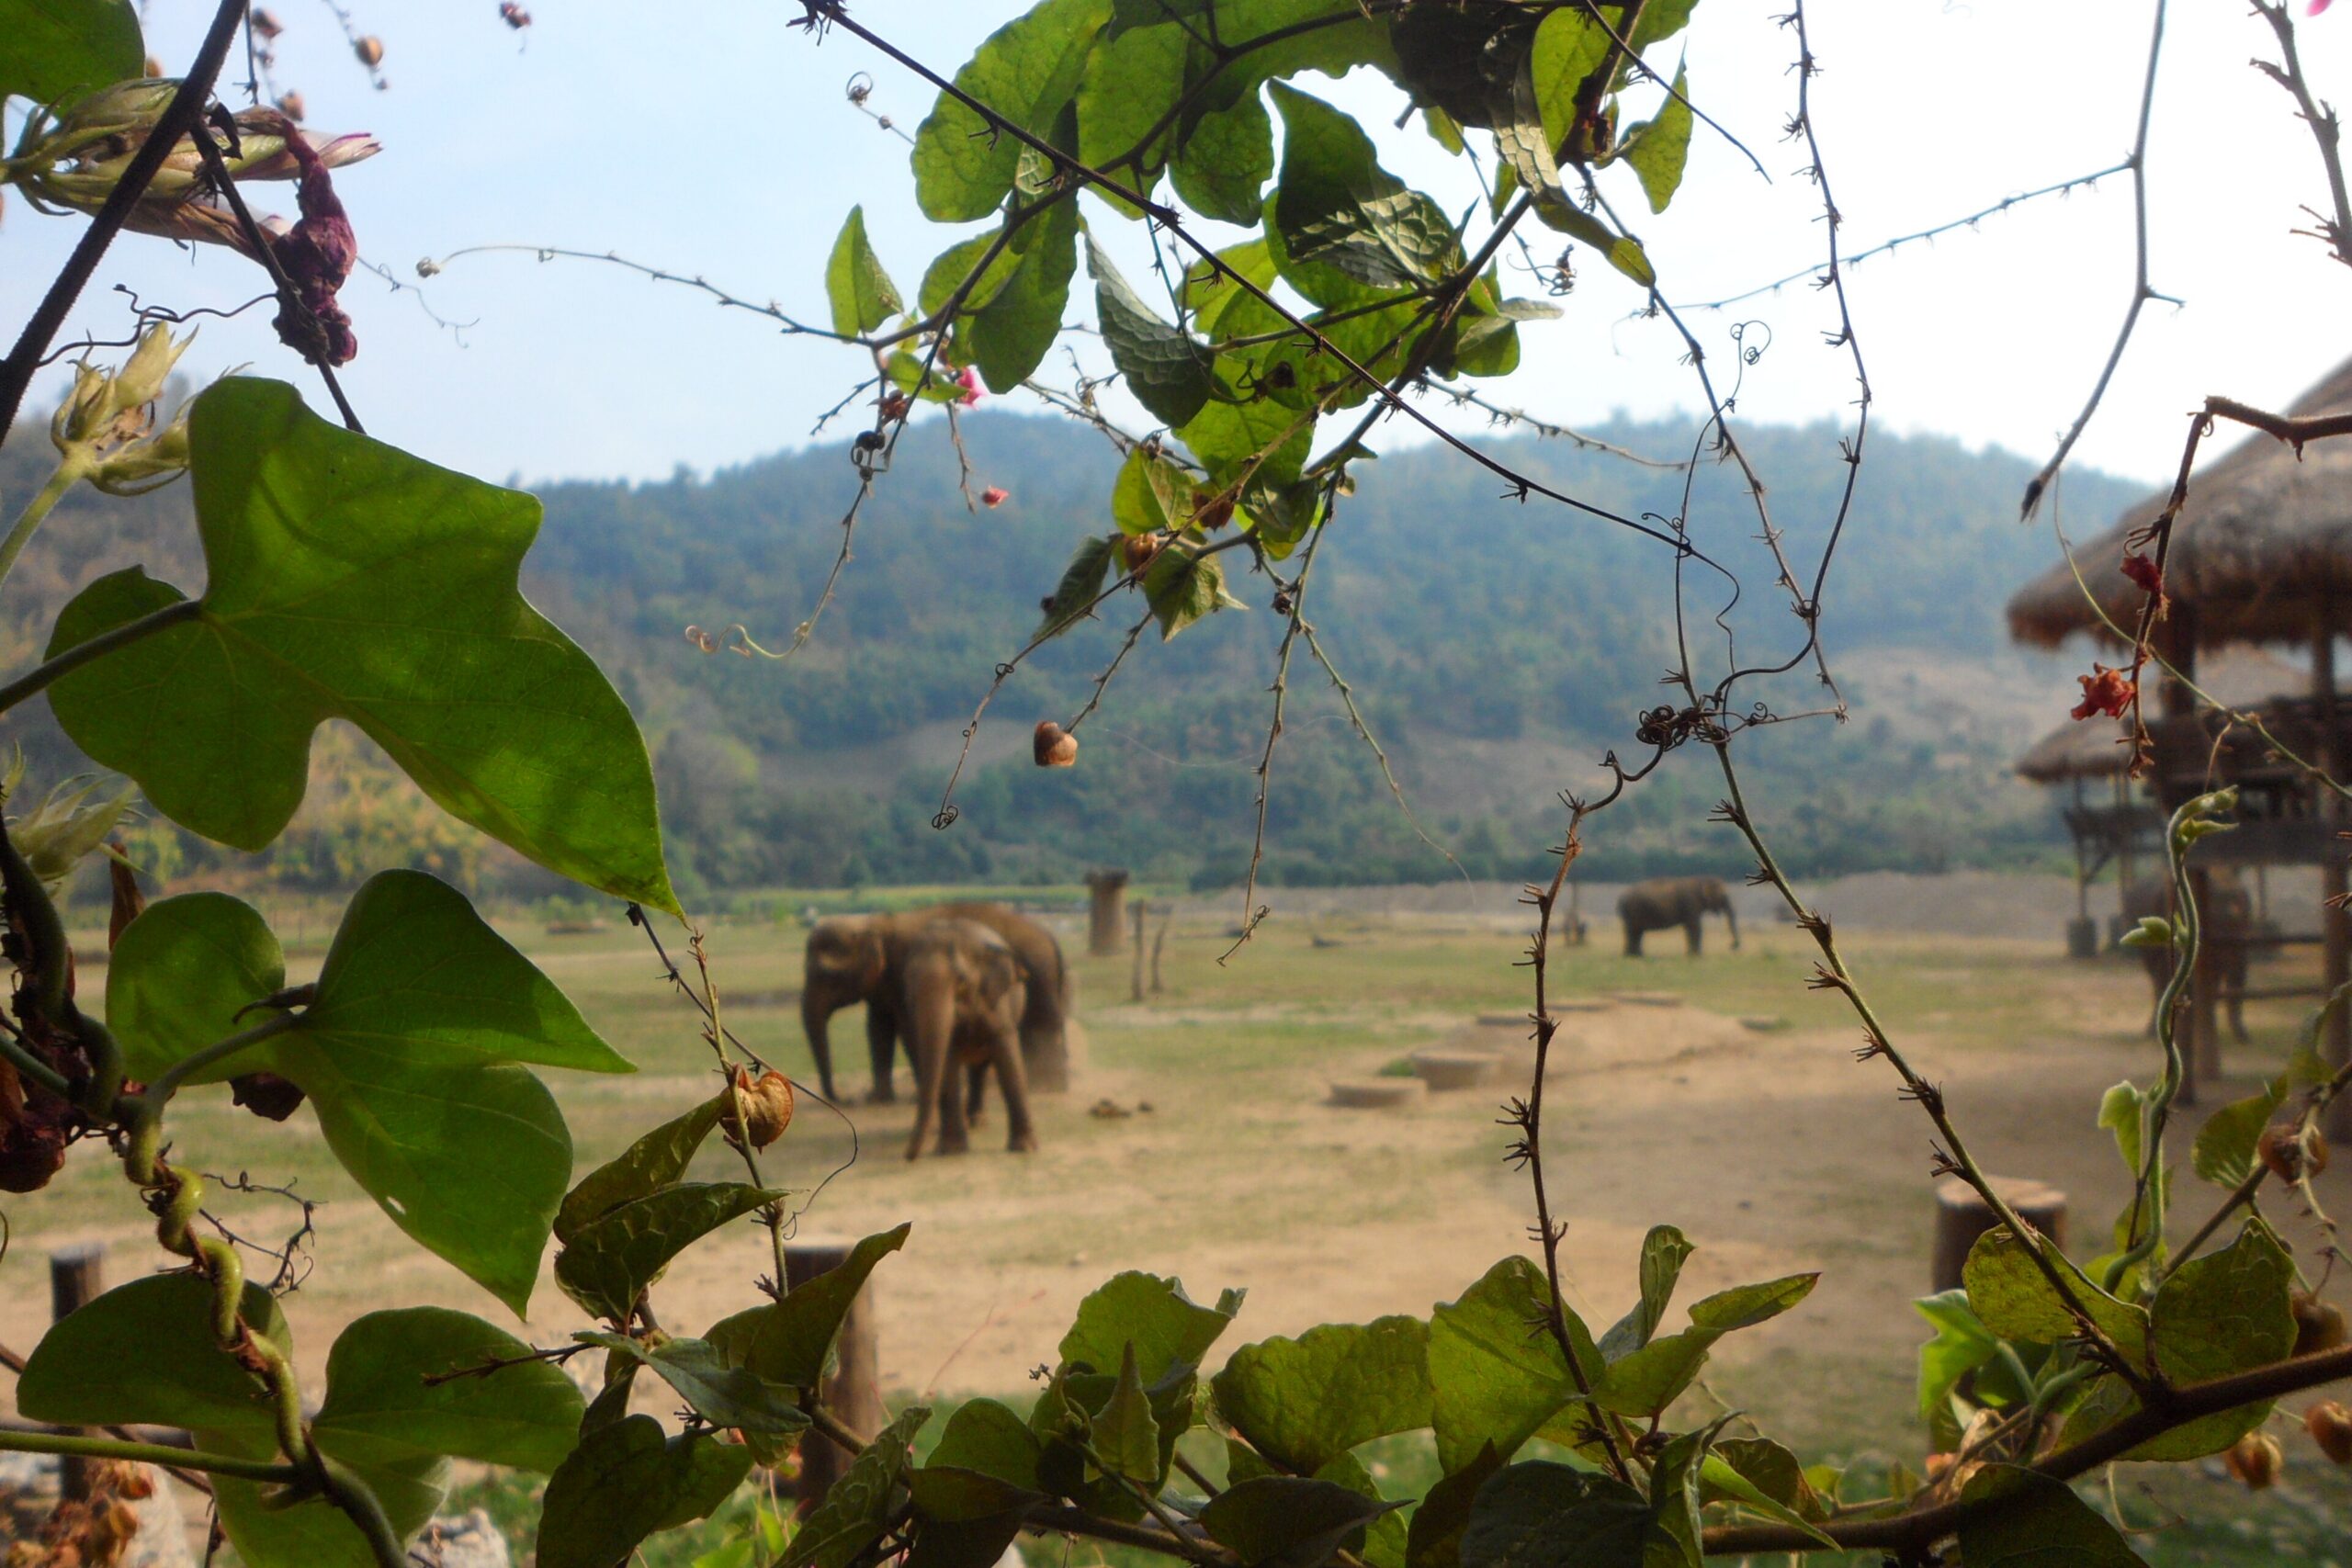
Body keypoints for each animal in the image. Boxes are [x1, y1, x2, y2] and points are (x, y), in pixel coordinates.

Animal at [800, 902, 1069, 1107]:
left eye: (827, 976)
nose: (846, 1100)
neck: (874, 924)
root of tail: (1051, 938)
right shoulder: (884, 985)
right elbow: (878, 1028)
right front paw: (877, 1099)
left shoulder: (903, 973)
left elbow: (909, 1028)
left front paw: (920, 1096)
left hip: (1039, 977)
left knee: (1040, 1026)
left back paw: (1044, 1086)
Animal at [898, 918, 1037, 1159]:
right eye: (908, 983)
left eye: (961, 982)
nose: (908, 1157)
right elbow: (948, 1062)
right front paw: (951, 1150)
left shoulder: (998, 1003)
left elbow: (1008, 1057)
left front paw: (1025, 1148)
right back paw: (971, 1122)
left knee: (981, 1066)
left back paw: (977, 1122)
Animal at [1618, 876, 1740, 957]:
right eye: (1724, 896)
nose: (1732, 946)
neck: (1702, 879)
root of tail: (1620, 900)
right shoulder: (1691, 904)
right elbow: (1695, 927)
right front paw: (1697, 956)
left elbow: (1689, 928)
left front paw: (1690, 955)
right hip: (1632, 912)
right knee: (1632, 932)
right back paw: (1631, 956)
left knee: (1637, 932)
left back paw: (1636, 956)